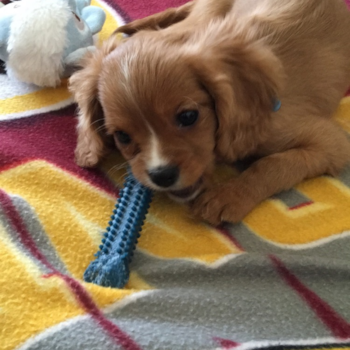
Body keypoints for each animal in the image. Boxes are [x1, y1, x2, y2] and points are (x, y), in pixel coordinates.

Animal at [69, 0, 350, 224]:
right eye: (122, 136)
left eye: (188, 117)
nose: (162, 175)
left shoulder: (329, 142)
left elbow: (272, 164)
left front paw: (229, 196)